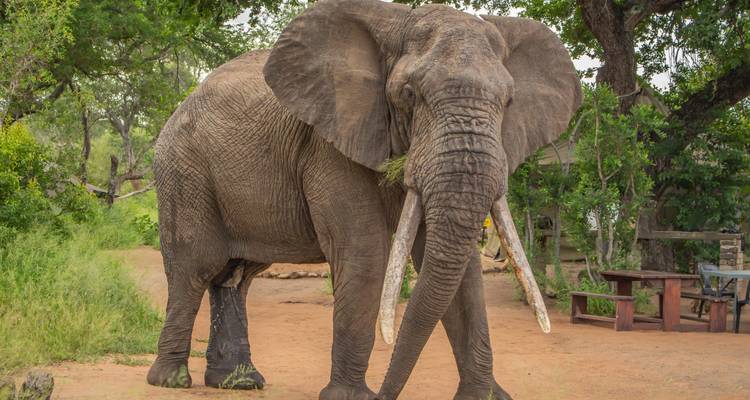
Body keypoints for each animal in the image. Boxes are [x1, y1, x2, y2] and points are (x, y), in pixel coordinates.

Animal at [146, 0, 581, 399]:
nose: (387, 395)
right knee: (196, 267)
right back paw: (171, 380)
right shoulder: (329, 144)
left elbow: (461, 273)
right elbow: (365, 254)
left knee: (237, 276)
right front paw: (352, 398)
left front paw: (487, 397)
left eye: (508, 102)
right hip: (183, 171)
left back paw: (239, 383)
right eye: (409, 94)